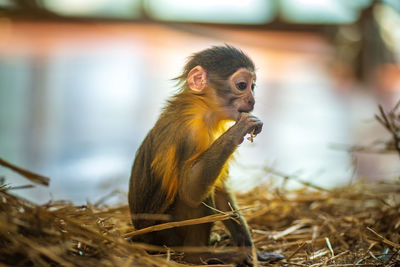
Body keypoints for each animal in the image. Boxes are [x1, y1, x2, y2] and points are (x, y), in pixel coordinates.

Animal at [129, 45, 284, 266]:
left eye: (253, 87)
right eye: (242, 85)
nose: (252, 99)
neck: (204, 108)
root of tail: (141, 237)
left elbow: (220, 189)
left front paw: (253, 251)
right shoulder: (190, 131)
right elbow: (190, 191)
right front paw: (239, 130)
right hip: (165, 235)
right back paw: (199, 255)